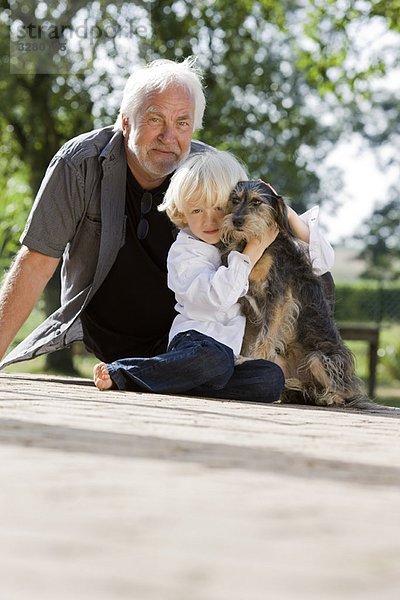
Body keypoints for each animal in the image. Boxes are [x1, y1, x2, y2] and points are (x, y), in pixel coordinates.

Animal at [220, 180, 370, 410]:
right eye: (235, 200)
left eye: (257, 201)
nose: (236, 221)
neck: (260, 248)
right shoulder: (247, 305)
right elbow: (249, 338)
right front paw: (245, 358)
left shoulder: (279, 297)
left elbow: (265, 336)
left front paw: (253, 360)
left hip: (319, 358)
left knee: (347, 394)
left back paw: (329, 397)